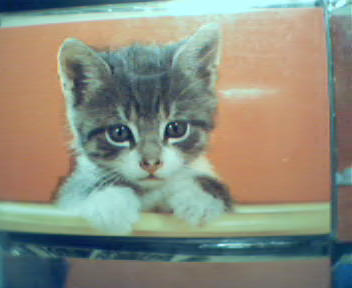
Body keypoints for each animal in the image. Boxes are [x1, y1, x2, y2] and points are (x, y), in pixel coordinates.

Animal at [56, 23, 234, 234]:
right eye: (119, 133)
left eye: (176, 129)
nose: (151, 163)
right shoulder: (72, 186)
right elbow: (77, 189)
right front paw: (110, 203)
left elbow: (214, 185)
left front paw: (199, 199)